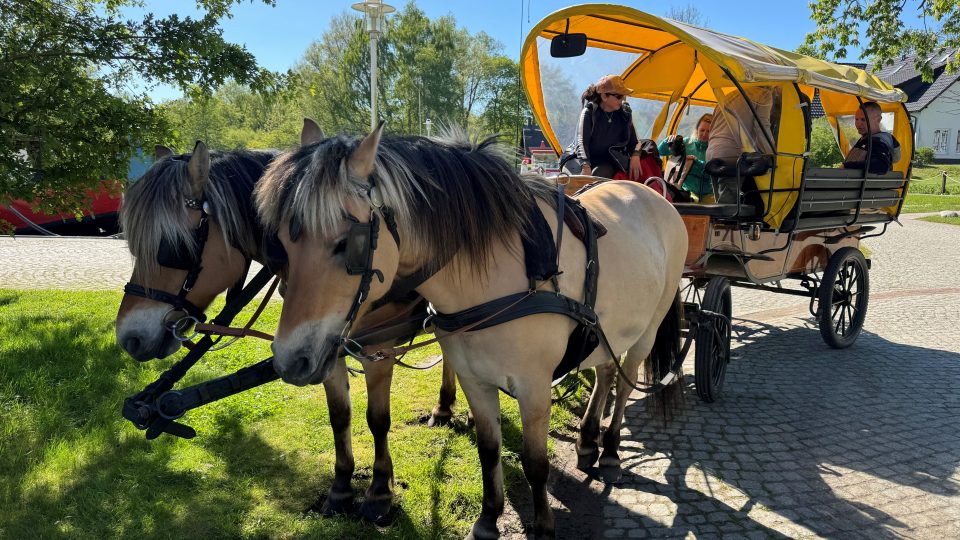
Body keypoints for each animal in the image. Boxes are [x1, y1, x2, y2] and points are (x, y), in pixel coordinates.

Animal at [116, 129, 462, 520]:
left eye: (173, 248)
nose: (129, 337)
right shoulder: (321, 350)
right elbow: (339, 416)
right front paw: (341, 488)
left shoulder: (377, 350)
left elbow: (377, 420)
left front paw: (378, 492)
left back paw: (445, 406)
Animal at [255, 123, 688, 540]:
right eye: (282, 243)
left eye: (347, 243)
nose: (289, 360)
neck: (501, 276)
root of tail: (655, 197)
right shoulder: (474, 379)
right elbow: (489, 449)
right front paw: (489, 517)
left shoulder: (534, 387)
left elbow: (535, 462)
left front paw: (544, 526)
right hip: (607, 333)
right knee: (605, 373)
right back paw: (587, 440)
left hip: (646, 332)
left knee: (626, 382)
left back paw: (610, 448)